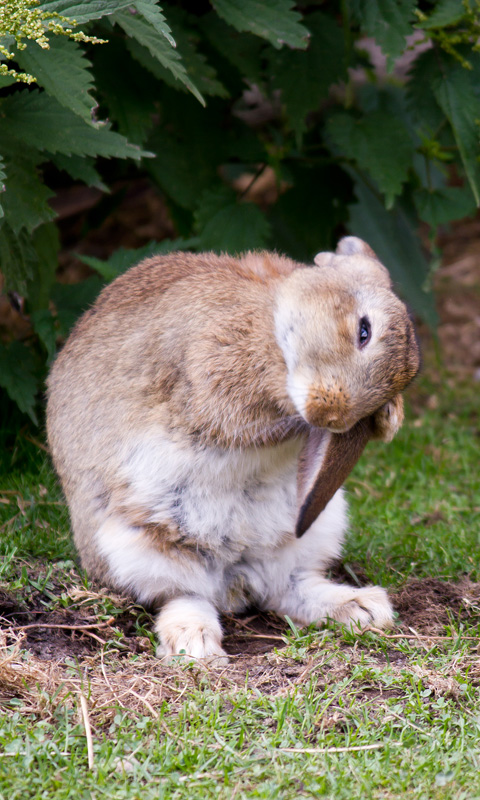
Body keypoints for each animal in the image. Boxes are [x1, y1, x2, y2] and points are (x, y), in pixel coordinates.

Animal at [46, 238, 420, 664]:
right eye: (363, 331)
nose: (332, 416)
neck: (275, 321)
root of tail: (236, 580)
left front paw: (390, 417)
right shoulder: (215, 378)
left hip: (315, 530)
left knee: (287, 588)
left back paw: (364, 607)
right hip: (136, 546)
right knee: (182, 594)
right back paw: (195, 644)